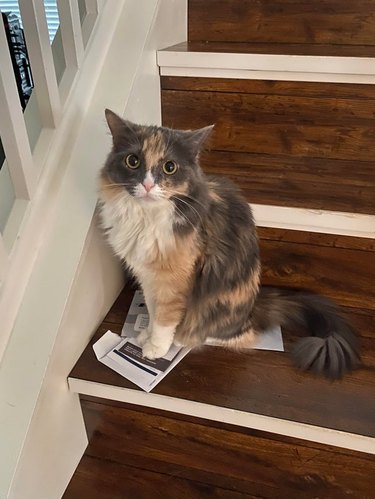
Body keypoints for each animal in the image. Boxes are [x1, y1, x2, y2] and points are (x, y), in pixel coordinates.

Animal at [98, 109, 360, 380]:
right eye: (133, 161)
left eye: (170, 167)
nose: (148, 185)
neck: (145, 217)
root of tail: (254, 308)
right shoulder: (148, 276)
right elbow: (151, 310)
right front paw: (146, 335)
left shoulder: (173, 281)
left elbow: (164, 318)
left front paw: (155, 348)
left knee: (238, 336)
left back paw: (187, 339)